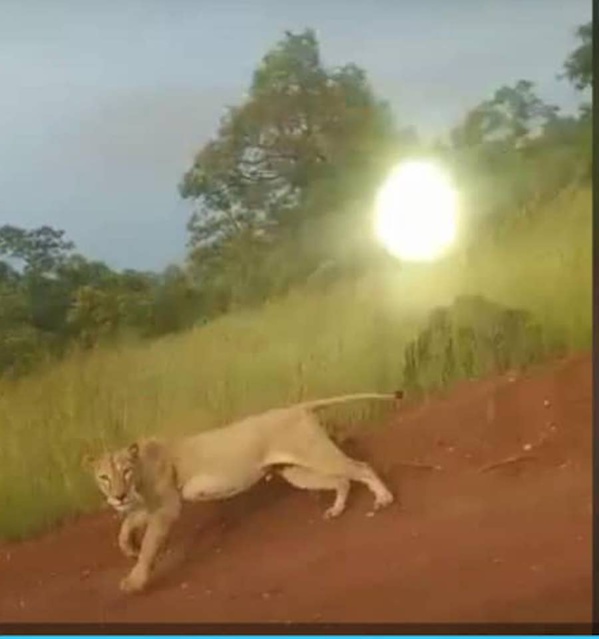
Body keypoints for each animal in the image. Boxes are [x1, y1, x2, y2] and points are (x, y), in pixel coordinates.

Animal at [83, 390, 404, 596]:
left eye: (125, 471)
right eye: (103, 477)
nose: (117, 496)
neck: (139, 475)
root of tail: (297, 407)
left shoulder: (167, 507)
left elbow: (149, 546)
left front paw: (134, 581)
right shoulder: (151, 505)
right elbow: (128, 524)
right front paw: (127, 545)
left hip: (316, 454)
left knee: (360, 467)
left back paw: (383, 499)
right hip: (296, 471)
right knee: (341, 480)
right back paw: (337, 509)